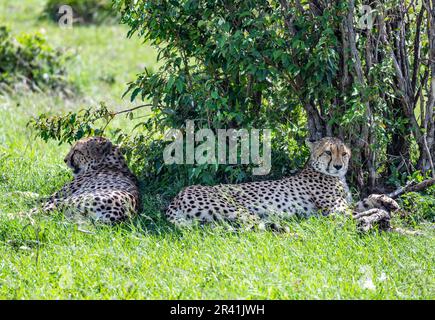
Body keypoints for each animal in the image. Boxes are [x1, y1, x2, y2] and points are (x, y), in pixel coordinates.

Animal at [168, 136, 402, 231]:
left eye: (343, 154)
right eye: (328, 152)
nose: (337, 166)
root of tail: (178, 195)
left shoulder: (344, 204)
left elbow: (365, 201)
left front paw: (387, 202)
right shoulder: (336, 210)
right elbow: (355, 213)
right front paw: (379, 214)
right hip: (236, 208)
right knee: (255, 228)